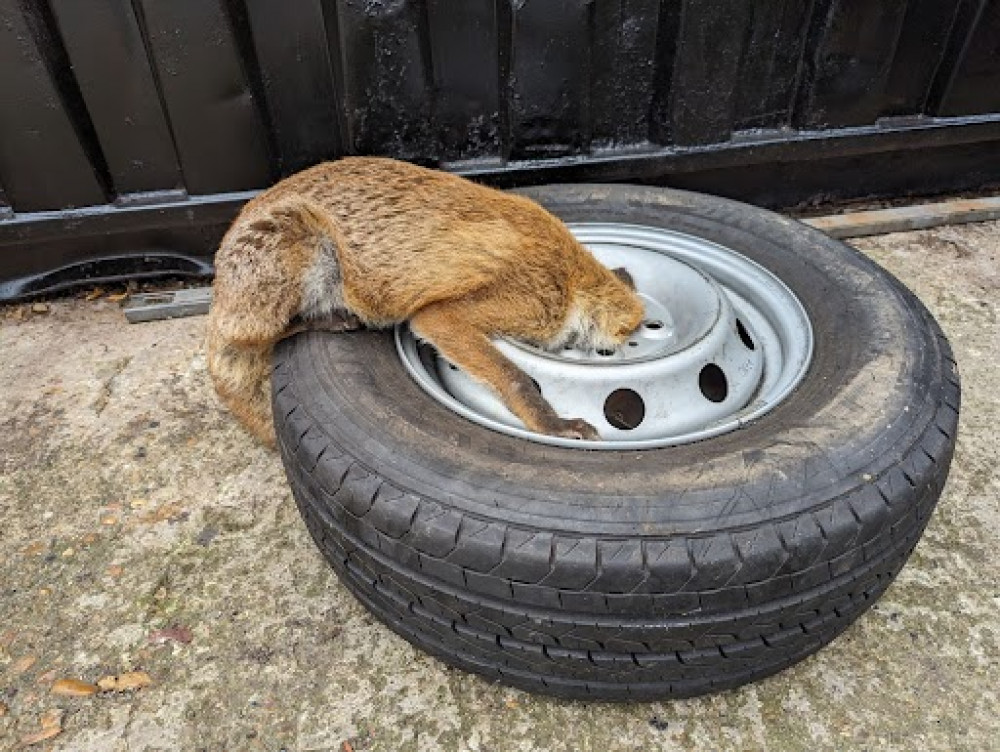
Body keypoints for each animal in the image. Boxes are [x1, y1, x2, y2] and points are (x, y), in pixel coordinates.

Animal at [206, 157, 644, 446]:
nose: (626, 416)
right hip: (303, 245)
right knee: (257, 336)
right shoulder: (450, 314)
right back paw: (331, 319)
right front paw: (551, 424)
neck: (570, 279)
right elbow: (516, 379)